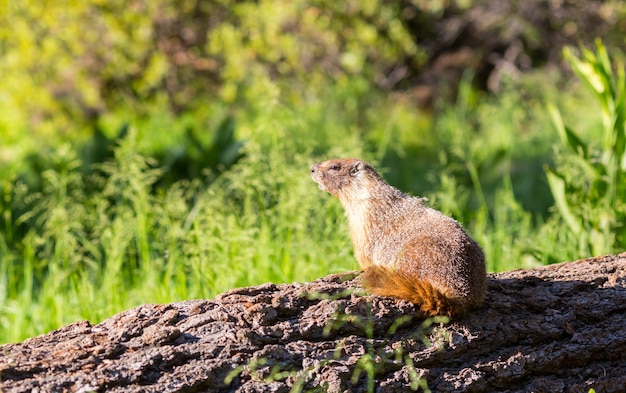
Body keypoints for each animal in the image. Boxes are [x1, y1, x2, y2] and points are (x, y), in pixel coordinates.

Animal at [310, 158, 486, 316]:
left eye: (334, 167)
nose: (312, 168)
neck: (363, 193)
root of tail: (462, 296)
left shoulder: (362, 223)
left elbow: (364, 254)